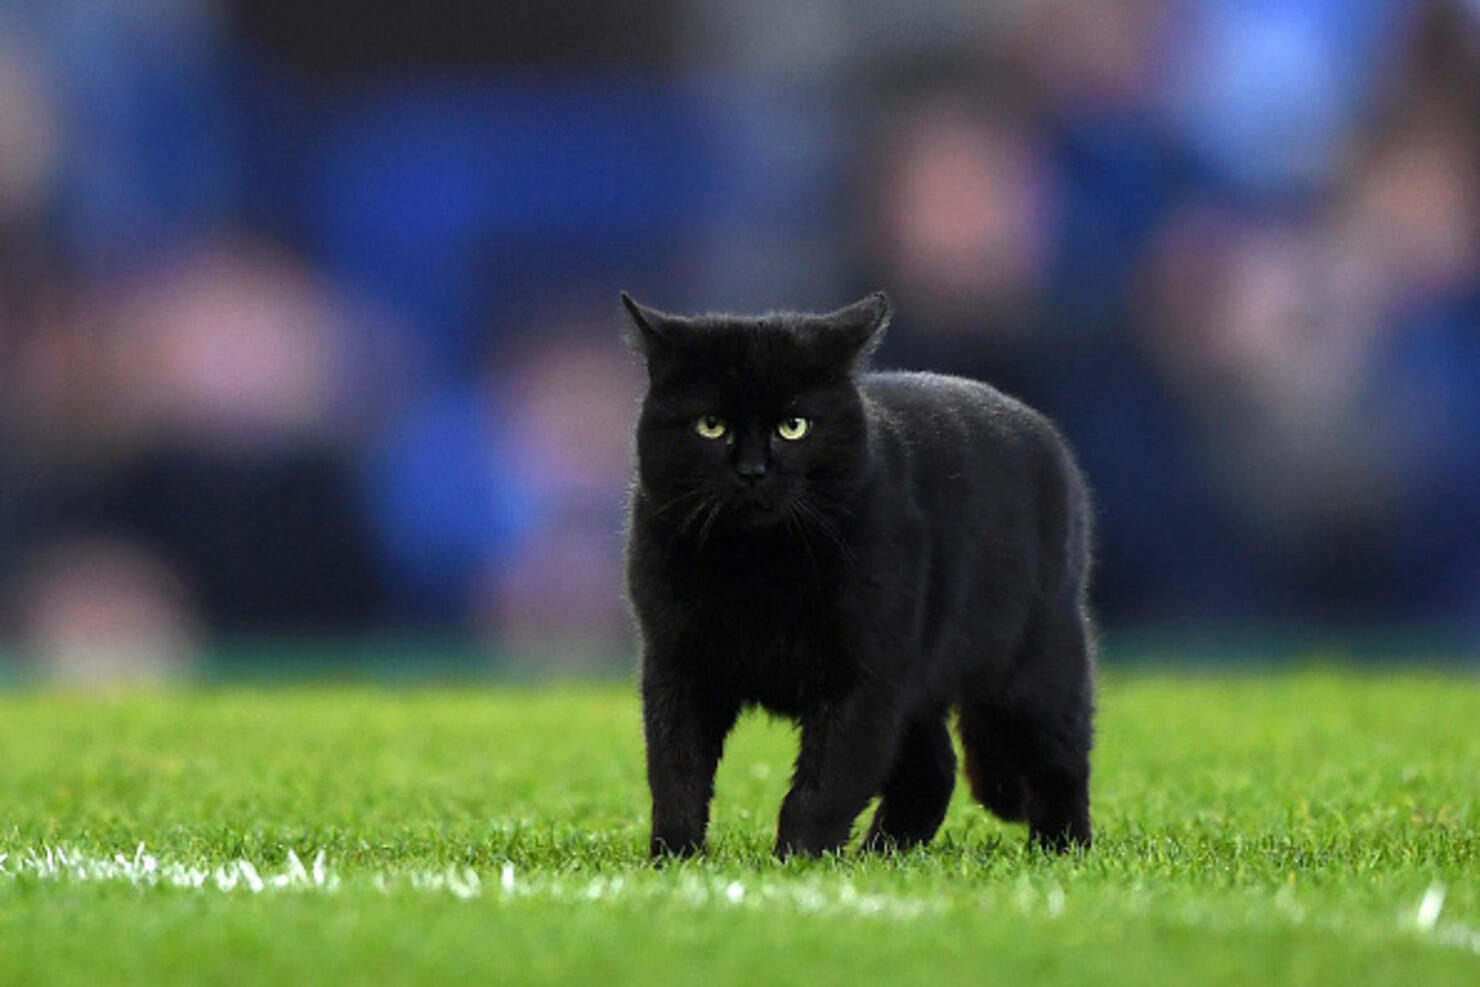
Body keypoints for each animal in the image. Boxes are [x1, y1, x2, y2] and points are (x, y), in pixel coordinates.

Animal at [618, 291, 1095, 858]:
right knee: (933, 770)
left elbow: (826, 781)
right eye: (709, 425)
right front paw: (675, 859)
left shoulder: (864, 675)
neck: (757, 567)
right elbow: (676, 770)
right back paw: (884, 854)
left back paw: (1062, 849)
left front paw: (796, 863)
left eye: (795, 426)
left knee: (1060, 761)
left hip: (1034, 669)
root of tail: (1045, 434)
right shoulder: (677, 664)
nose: (753, 471)